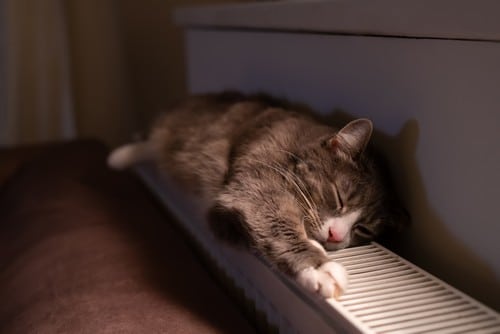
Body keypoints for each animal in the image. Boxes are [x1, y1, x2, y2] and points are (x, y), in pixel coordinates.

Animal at [107, 92, 404, 300]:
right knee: (151, 140)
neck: (295, 148)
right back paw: (119, 157)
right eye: (339, 197)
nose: (336, 236)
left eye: (363, 229)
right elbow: (277, 220)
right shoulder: (257, 182)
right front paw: (320, 268)